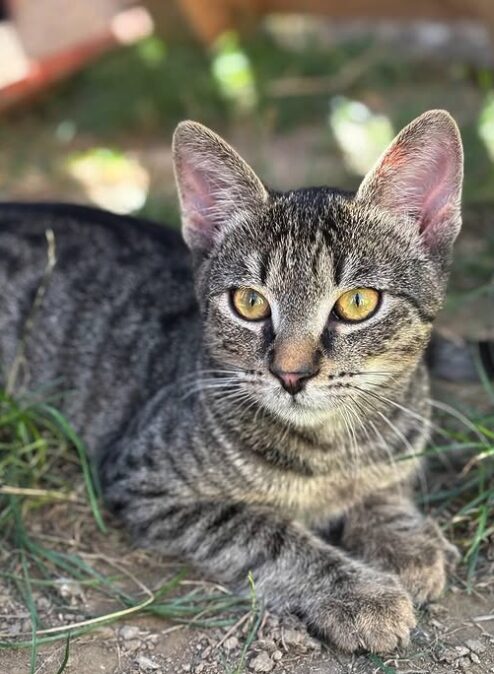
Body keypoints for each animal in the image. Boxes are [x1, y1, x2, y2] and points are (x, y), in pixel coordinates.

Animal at [0, 110, 464, 652]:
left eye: (357, 303)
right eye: (249, 302)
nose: (290, 373)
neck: (331, 450)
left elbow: (387, 486)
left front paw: (406, 543)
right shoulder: (144, 481)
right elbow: (268, 534)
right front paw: (359, 593)